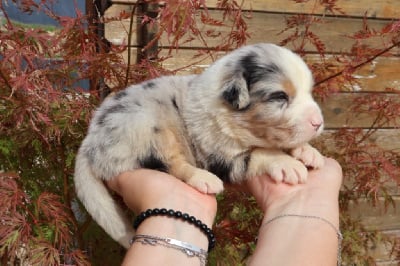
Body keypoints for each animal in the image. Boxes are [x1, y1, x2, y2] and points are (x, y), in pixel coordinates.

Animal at [74, 42, 324, 248]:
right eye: (280, 96)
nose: (319, 122)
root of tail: (89, 141)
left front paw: (308, 152)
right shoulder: (218, 155)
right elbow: (260, 152)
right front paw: (287, 163)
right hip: (146, 127)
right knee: (172, 165)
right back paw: (204, 179)